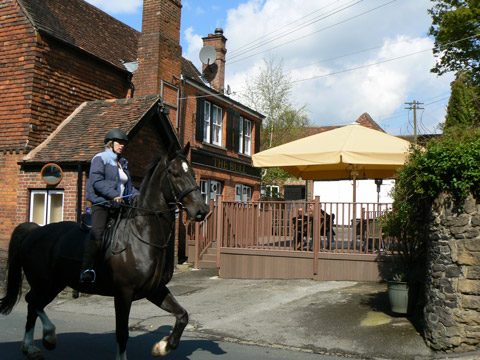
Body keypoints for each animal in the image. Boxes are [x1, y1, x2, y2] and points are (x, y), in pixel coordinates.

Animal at [0, 143, 210, 360]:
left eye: (192, 172)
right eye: (174, 173)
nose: (201, 210)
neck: (142, 235)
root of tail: (34, 231)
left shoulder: (155, 290)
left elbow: (182, 315)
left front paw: (164, 345)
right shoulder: (124, 293)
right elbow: (122, 332)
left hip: (55, 283)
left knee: (34, 304)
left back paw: (32, 346)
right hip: (44, 283)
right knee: (33, 302)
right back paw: (46, 338)